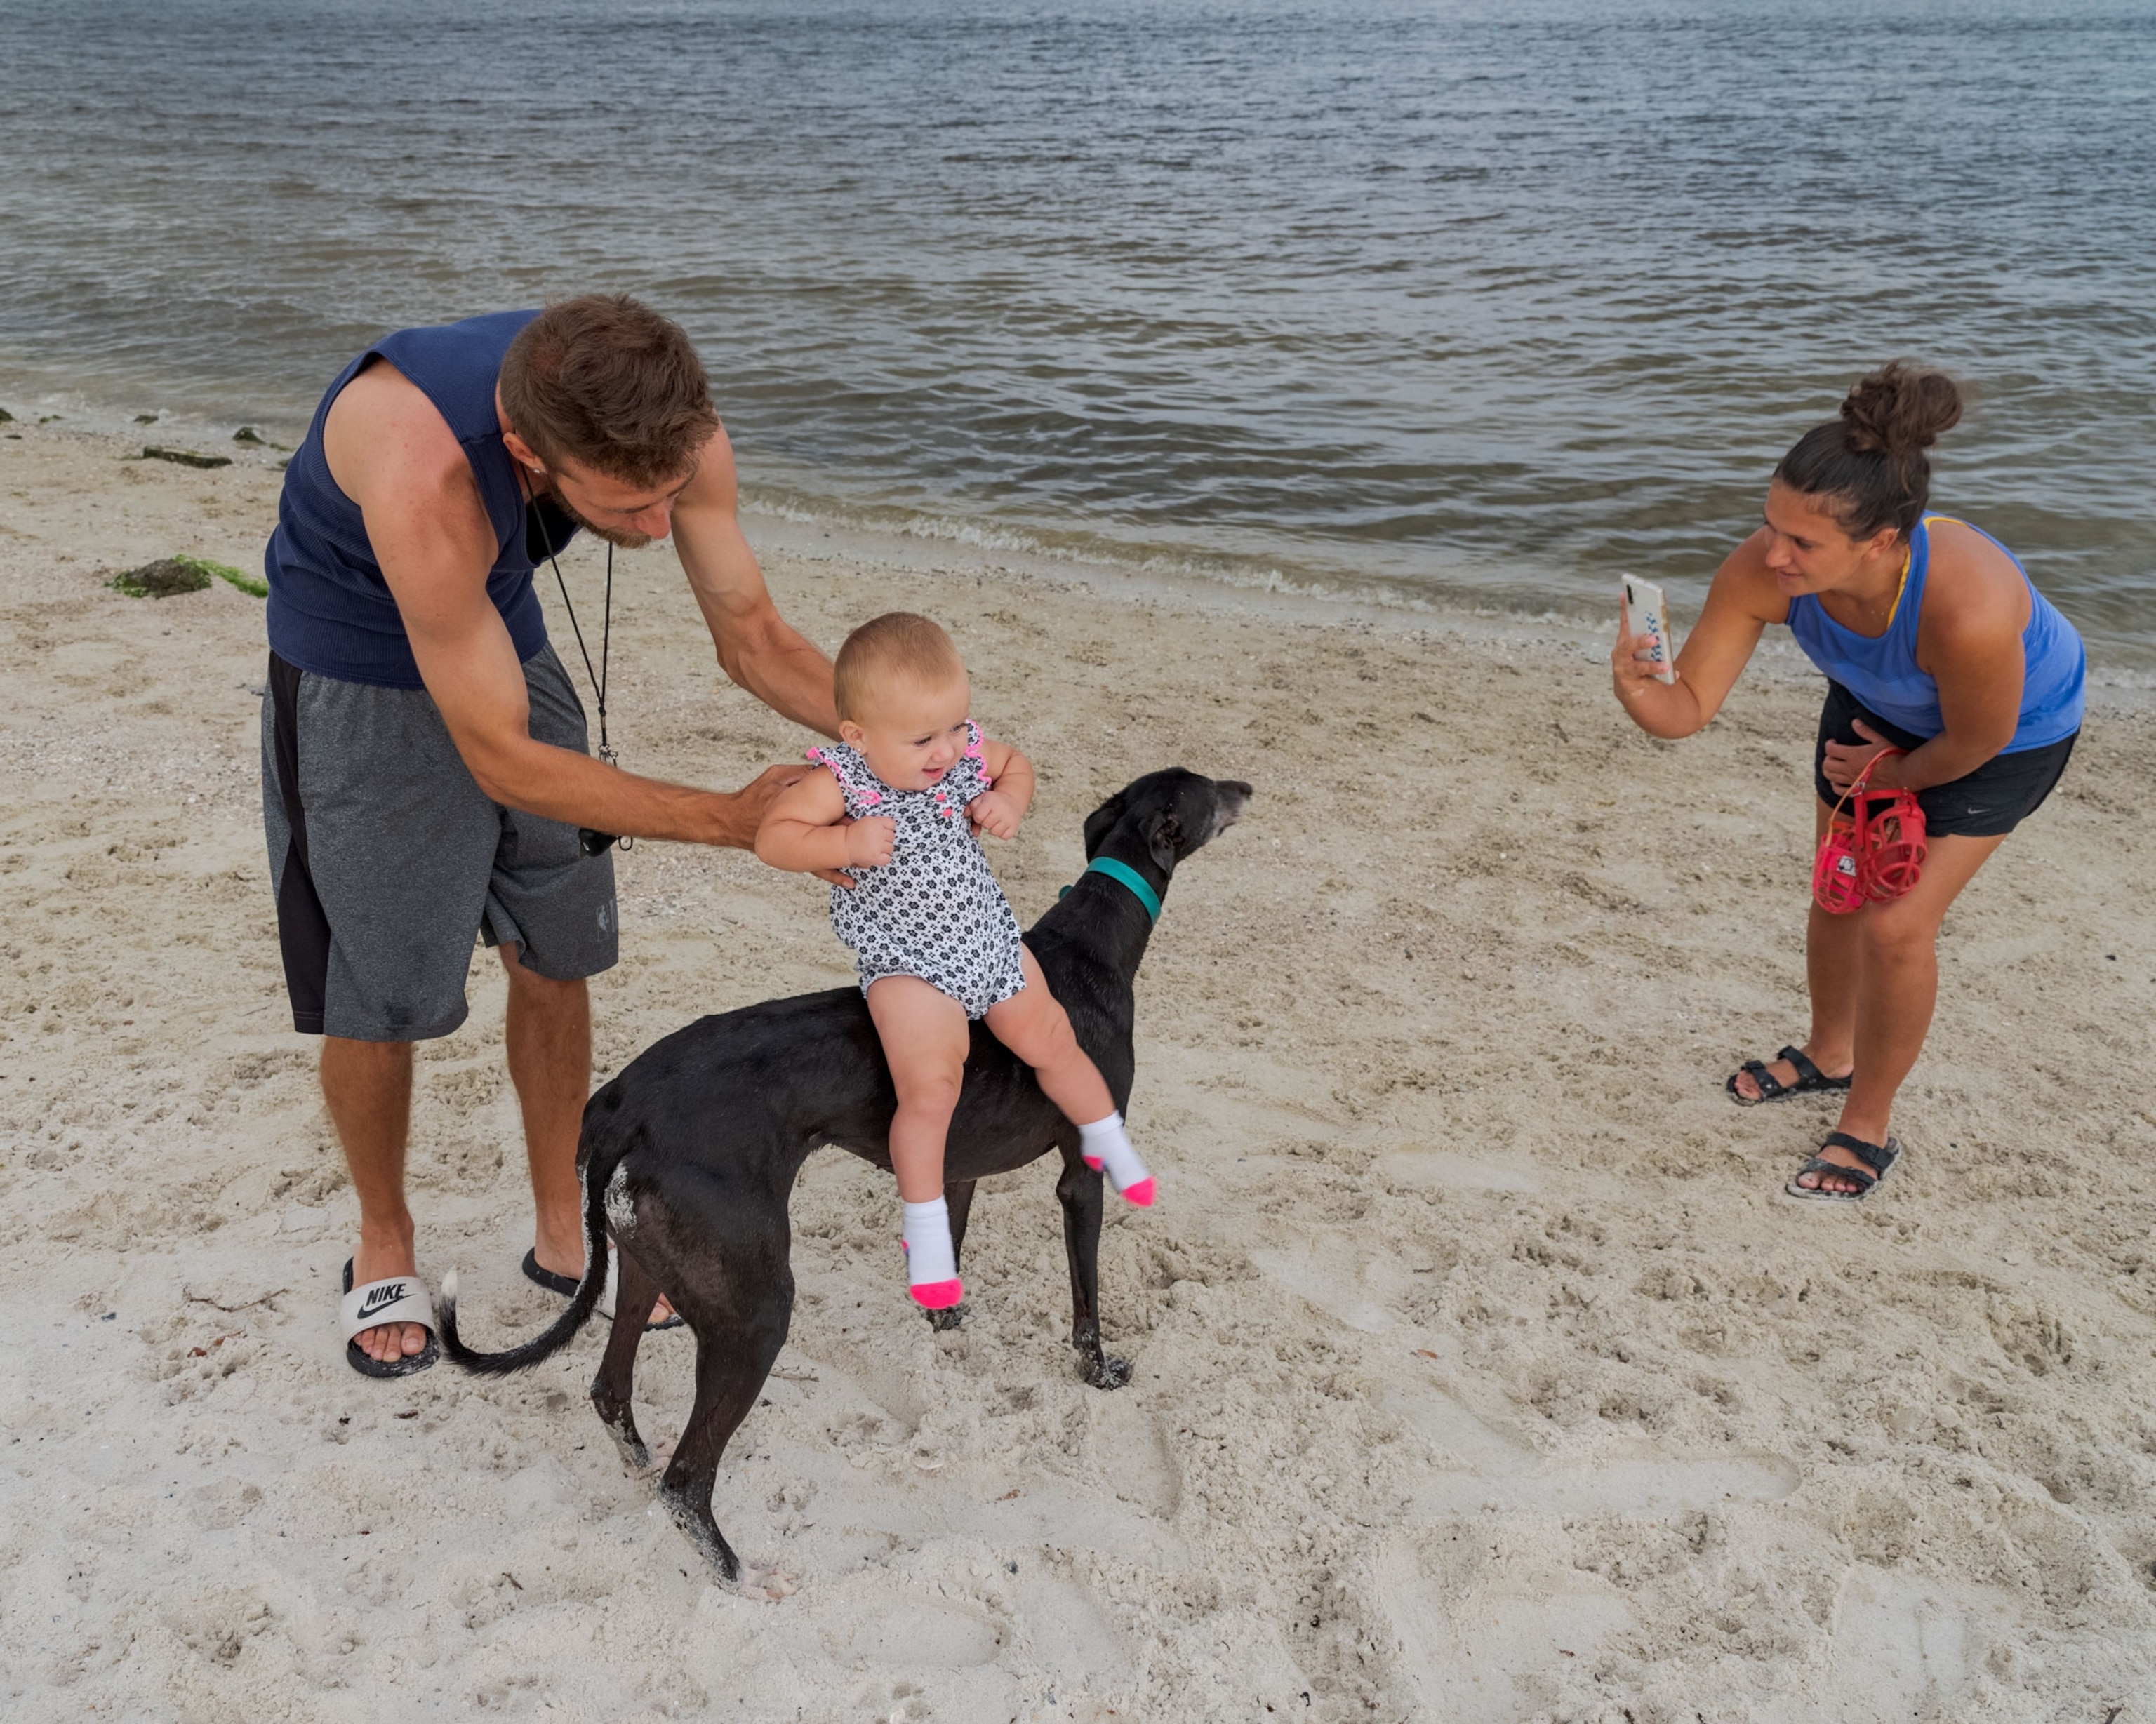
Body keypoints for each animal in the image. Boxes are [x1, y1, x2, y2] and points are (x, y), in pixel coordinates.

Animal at [437, 775, 1250, 1586]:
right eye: (1209, 791)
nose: (1245, 787)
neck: (1092, 944)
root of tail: (621, 1108)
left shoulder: (954, 1164)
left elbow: (947, 1250)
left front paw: (944, 1324)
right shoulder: (1083, 1173)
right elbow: (1087, 1296)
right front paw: (1099, 1370)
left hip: (645, 1261)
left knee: (610, 1392)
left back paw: (636, 1454)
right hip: (756, 1307)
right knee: (686, 1481)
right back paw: (737, 1571)